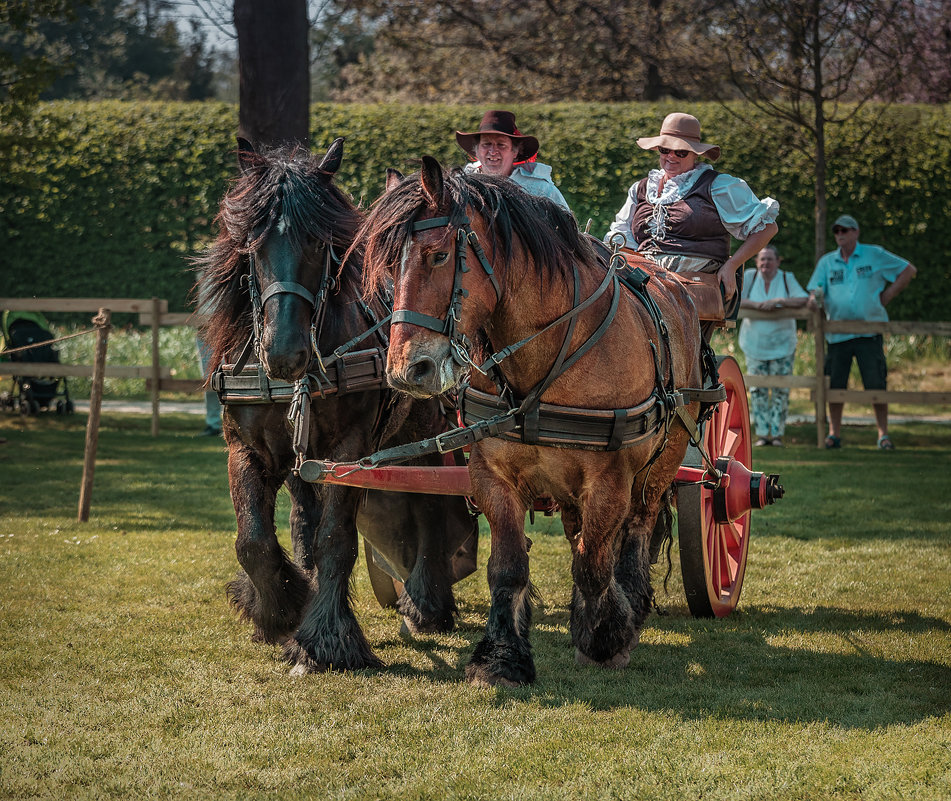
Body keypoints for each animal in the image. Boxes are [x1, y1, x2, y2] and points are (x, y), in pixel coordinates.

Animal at [195, 141, 476, 672]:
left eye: (318, 242)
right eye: (253, 243)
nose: (285, 352)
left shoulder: (349, 450)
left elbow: (335, 539)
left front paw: (326, 637)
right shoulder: (248, 449)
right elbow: (255, 541)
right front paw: (279, 610)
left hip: (423, 430)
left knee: (430, 506)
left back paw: (425, 602)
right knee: (303, 517)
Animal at [356, 159, 708, 684]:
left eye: (438, 256)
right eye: (384, 269)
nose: (405, 370)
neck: (551, 352)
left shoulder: (610, 479)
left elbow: (593, 563)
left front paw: (606, 639)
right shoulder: (492, 475)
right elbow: (508, 567)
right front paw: (502, 656)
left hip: (661, 463)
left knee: (636, 531)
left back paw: (631, 604)